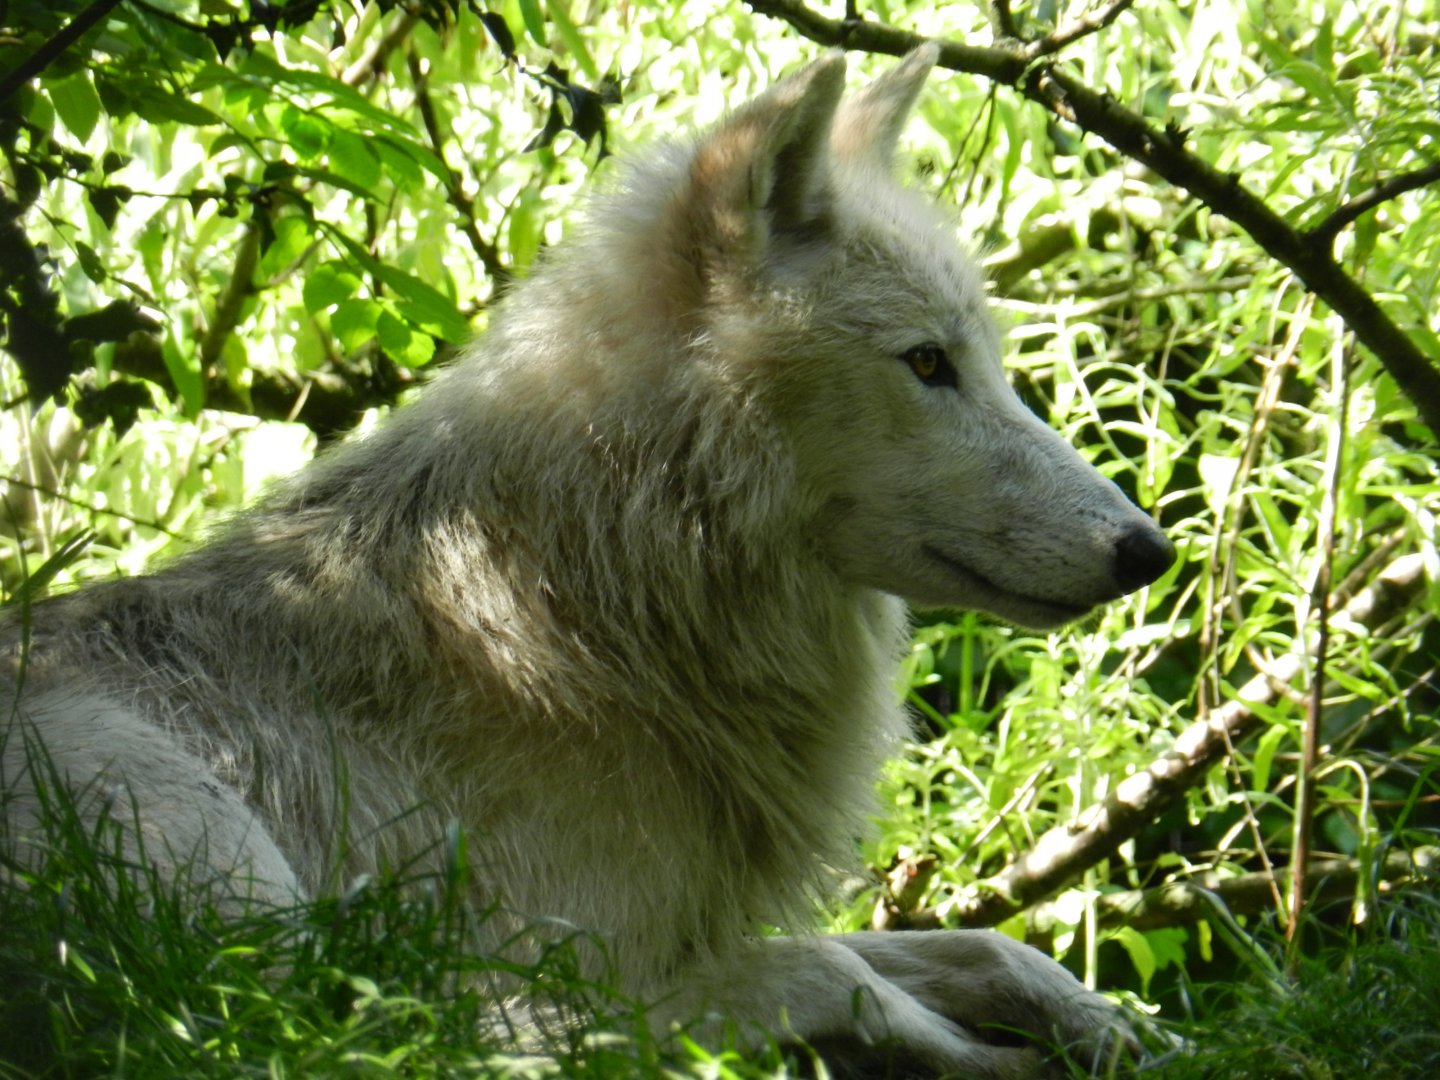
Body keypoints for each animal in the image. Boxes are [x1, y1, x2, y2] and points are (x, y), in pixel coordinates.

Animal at [2, 46, 1173, 1078]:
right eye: (928, 363)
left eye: (987, 361)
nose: (1148, 549)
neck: (600, 591)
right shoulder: (557, 951)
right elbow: (835, 970)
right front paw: (981, 1050)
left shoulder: (688, 924)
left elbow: (989, 945)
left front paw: (1110, 1027)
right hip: (254, 915)